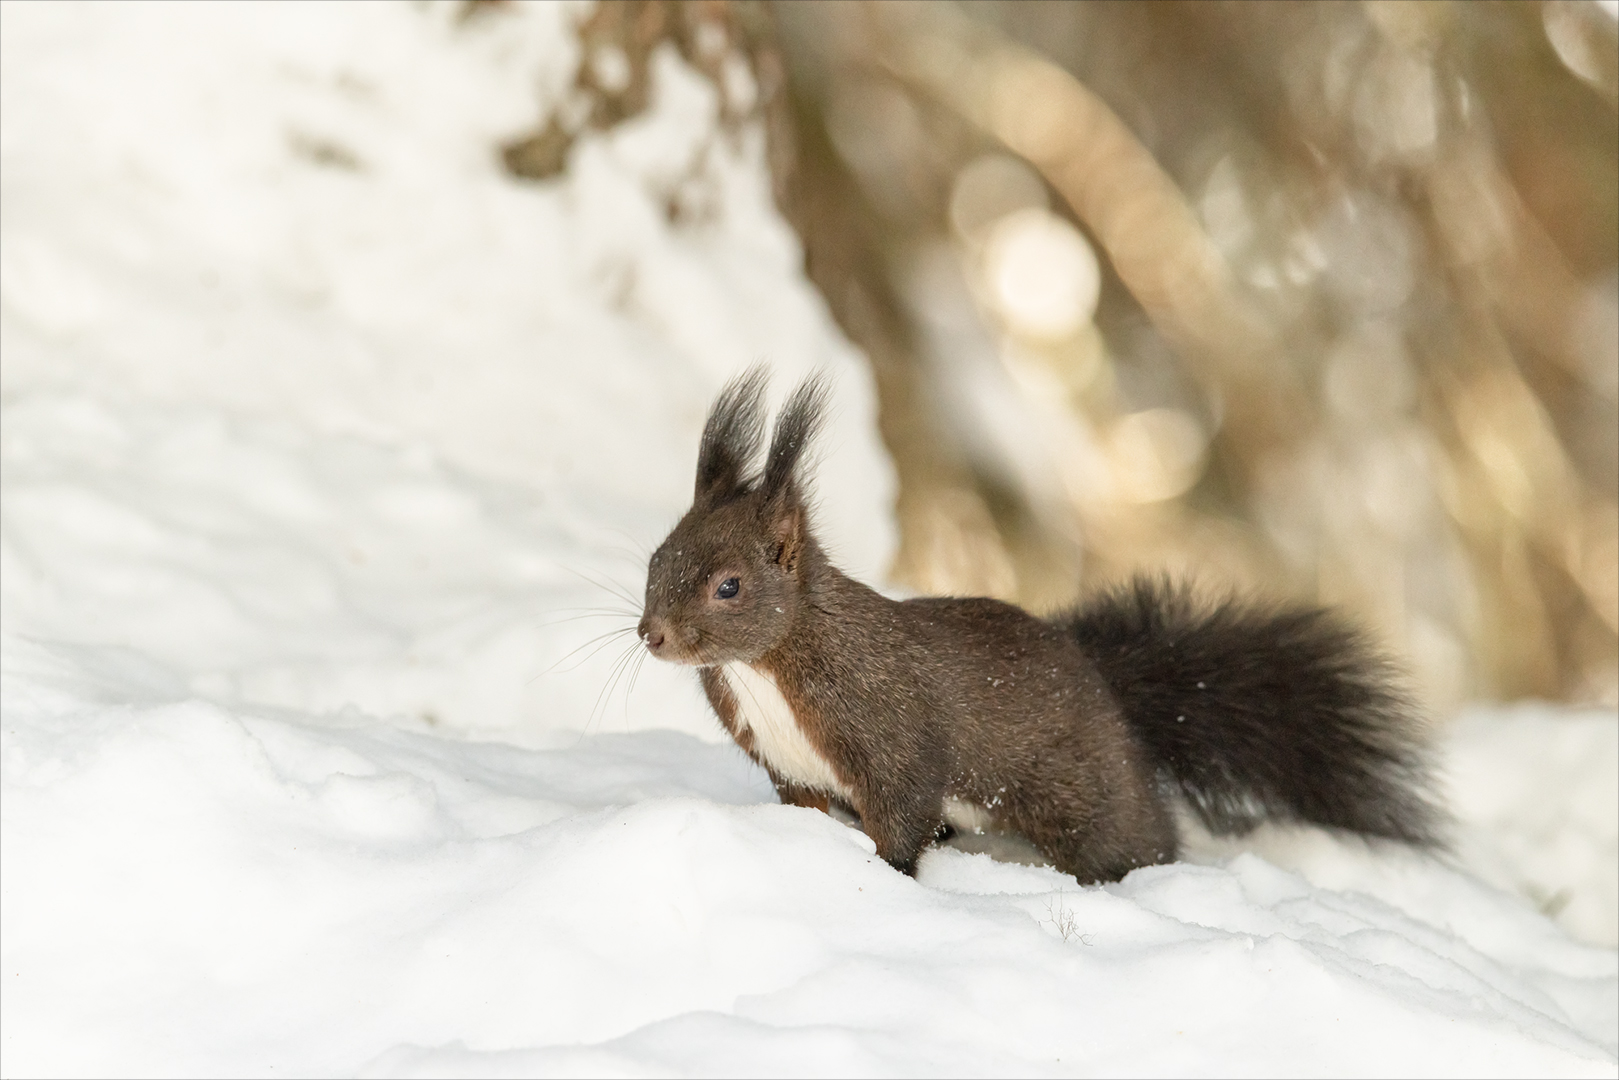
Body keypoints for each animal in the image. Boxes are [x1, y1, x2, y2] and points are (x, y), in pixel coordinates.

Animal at [634, 369, 1444, 880]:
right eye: (656, 557)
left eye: (729, 586)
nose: (652, 634)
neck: (769, 664)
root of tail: (1109, 693)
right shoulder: (789, 768)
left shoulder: (891, 733)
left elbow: (901, 818)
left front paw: (886, 875)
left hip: (1088, 796)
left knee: (1139, 840)